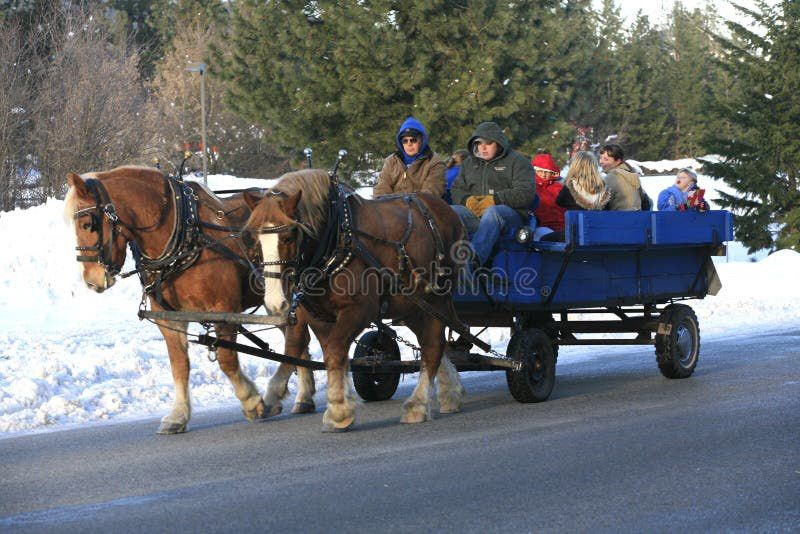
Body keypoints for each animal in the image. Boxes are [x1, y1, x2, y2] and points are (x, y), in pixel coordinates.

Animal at [65, 166, 316, 436]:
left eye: (87, 224)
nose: (91, 280)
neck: (185, 240)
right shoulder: (170, 318)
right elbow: (179, 365)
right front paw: (178, 415)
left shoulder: (224, 311)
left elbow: (226, 360)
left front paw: (251, 401)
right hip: (276, 301)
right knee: (296, 337)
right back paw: (304, 395)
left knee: (296, 337)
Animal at [247, 170, 466, 434]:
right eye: (255, 240)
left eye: (289, 237)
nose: (274, 302)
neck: (336, 240)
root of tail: (447, 211)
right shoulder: (319, 316)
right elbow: (334, 355)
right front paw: (341, 404)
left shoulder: (359, 310)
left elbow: (335, 351)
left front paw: (338, 411)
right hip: (412, 305)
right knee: (432, 342)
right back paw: (450, 392)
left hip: (436, 298)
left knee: (433, 346)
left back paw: (418, 405)